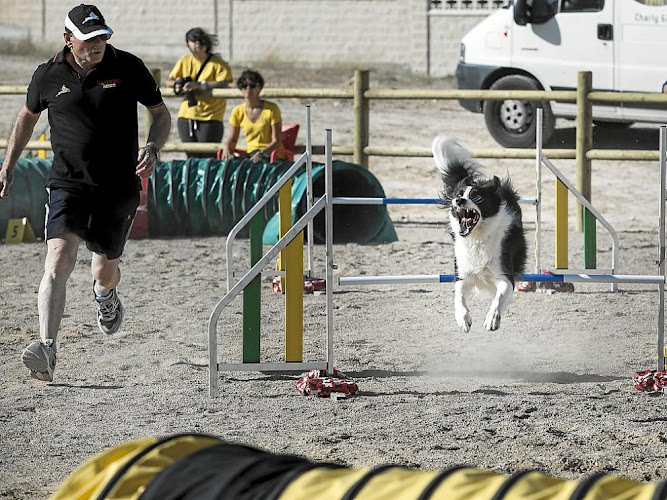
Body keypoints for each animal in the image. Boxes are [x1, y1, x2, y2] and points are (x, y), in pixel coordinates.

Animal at [434, 135, 528, 334]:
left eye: (477, 197)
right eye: (459, 194)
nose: (458, 200)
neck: (477, 237)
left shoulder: (504, 275)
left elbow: (498, 298)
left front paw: (492, 319)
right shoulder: (462, 273)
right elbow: (459, 296)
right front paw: (463, 319)